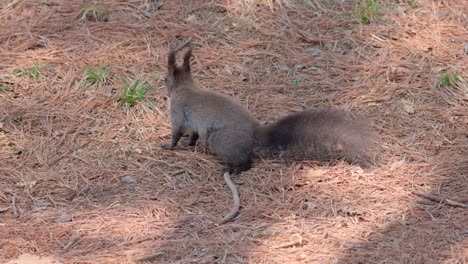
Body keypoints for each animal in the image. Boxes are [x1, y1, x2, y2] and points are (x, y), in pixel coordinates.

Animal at [163, 48, 374, 173]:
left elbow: (176, 132)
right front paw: (190, 144)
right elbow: (193, 134)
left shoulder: (177, 111)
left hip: (219, 140)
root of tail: (255, 132)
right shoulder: (193, 123)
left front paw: (168, 146)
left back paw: (232, 170)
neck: (185, 87)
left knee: (245, 161)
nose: (162, 83)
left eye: (165, 78)